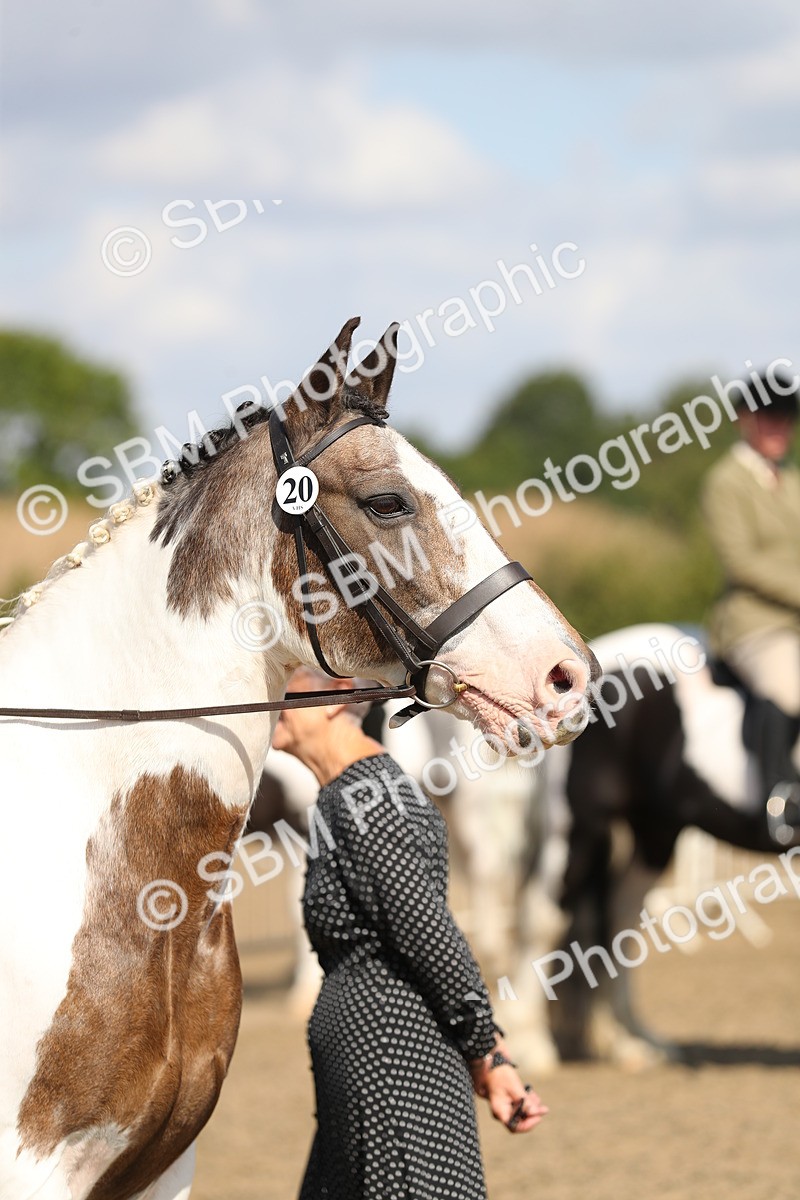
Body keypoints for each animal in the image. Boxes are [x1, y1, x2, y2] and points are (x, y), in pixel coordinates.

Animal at [507, 622, 800, 1071]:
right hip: (581, 826)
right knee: (544, 917)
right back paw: (531, 1045)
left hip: (655, 832)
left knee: (618, 919)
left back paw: (631, 1042)